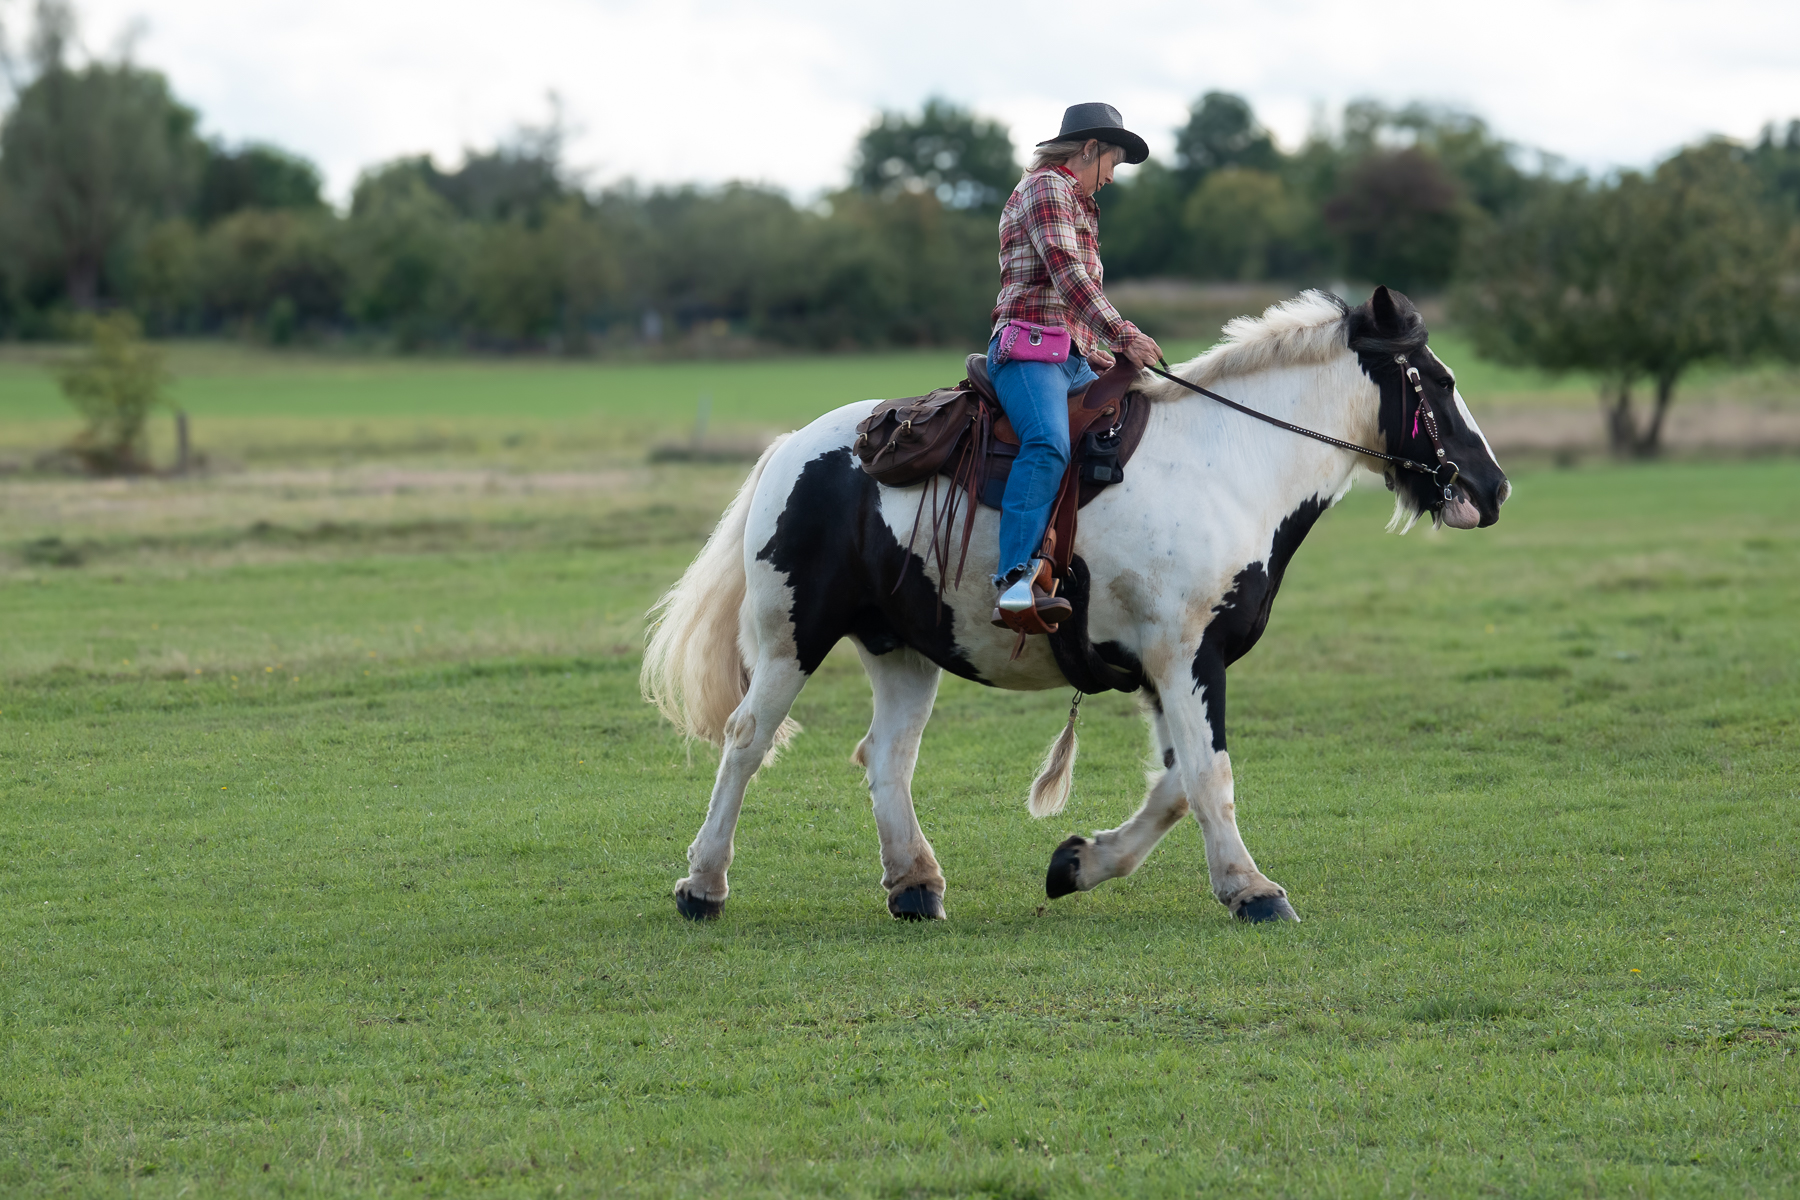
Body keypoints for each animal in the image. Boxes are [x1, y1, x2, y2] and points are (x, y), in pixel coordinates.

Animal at [641, 286, 1510, 923]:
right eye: (1438, 381)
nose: (1493, 486)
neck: (1226, 467)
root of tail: (792, 448)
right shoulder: (1187, 656)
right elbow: (1209, 774)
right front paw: (1252, 890)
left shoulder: (1163, 667)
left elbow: (1176, 784)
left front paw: (1077, 863)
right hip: (792, 639)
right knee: (746, 741)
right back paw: (702, 886)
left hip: (904, 650)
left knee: (886, 756)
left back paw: (915, 885)